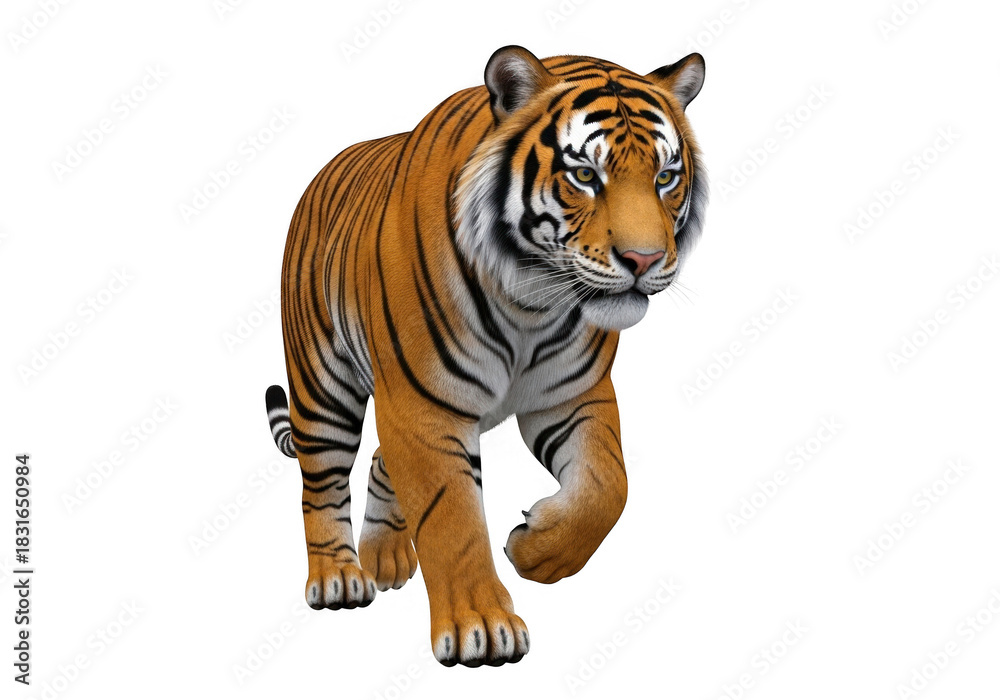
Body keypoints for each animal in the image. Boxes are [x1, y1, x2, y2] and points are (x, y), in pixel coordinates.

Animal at [265, 45, 707, 667]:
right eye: (585, 175)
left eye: (665, 177)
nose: (644, 260)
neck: (533, 302)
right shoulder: (424, 406)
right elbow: (452, 517)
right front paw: (482, 625)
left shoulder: (573, 395)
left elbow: (608, 487)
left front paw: (538, 551)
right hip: (321, 382)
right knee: (321, 481)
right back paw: (338, 578)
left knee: (379, 457)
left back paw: (385, 558)